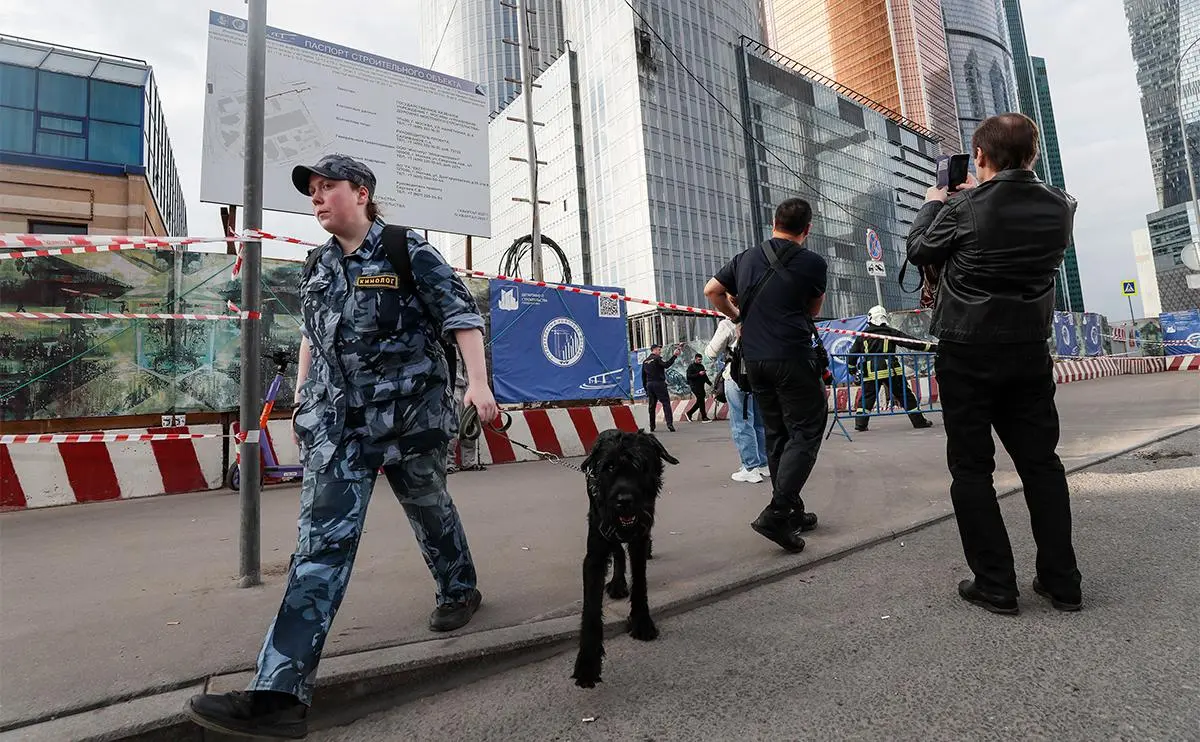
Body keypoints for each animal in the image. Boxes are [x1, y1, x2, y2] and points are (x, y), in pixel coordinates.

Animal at [571, 427, 676, 686]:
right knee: (617, 551)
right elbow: (590, 608)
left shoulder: (638, 539)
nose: (624, 501)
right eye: (608, 467)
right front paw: (587, 663)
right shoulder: (595, 552)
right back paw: (618, 583)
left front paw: (642, 622)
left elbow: (640, 583)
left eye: (640, 466)